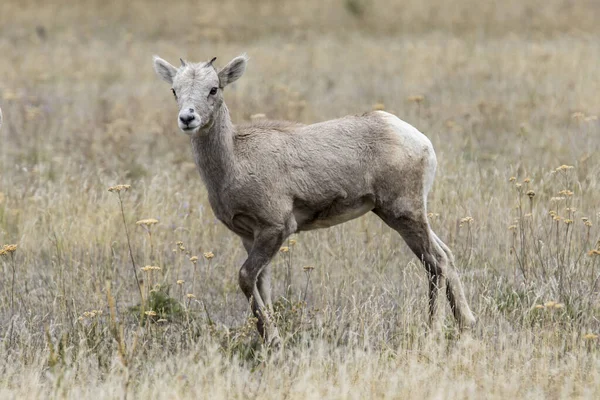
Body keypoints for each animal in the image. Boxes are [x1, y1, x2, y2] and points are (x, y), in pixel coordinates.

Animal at [152, 54, 476, 346]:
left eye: (213, 88)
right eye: (174, 90)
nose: (187, 118)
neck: (234, 161)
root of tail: (421, 142)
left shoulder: (275, 228)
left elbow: (245, 277)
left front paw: (274, 341)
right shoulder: (249, 236)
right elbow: (261, 284)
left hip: (403, 213)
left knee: (435, 263)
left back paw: (432, 333)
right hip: (408, 214)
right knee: (446, 255)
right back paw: (465, 326)